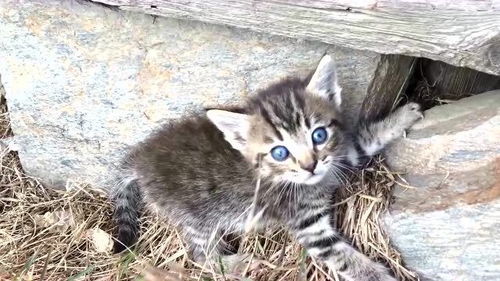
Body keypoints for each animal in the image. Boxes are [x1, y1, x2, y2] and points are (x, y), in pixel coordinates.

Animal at [110, 55, 422, 280]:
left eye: (319, 135)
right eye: (280, 152)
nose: (310, 166)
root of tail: (141, 158)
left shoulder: (339, 156)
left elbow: (365, 138)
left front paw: (400, 118)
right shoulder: (307, 224)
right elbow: (344, 257)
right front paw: (378, 275)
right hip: (197, 218)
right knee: (200, 255)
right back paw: (235, 264)